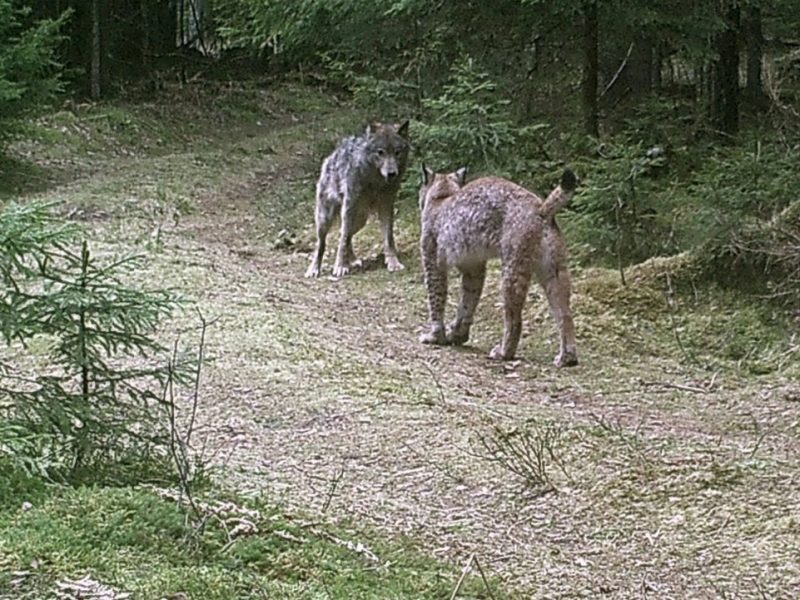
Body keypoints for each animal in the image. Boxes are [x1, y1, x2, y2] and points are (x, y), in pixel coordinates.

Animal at [304, 122, 410, 282]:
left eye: (397, 152)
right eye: (380, 152)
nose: (392, 173)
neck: (375, 181)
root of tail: (330, 157)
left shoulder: (387, 206)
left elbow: (389, 238)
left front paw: (393, 262)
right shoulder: (349, 205)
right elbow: (342, 240)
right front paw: (340, 266)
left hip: (360, 220)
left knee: (346, 235)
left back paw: (352, 260)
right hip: (326, 219)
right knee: (323, 243)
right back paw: (314, 269)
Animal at [416, 164, 580, 366]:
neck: (442, 195)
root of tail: (539, 206)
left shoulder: (433, 262)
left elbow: (436, 299)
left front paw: (435, 336)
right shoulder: (473, 267)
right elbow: (468, 301)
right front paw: (458, 335)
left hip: (513, 266)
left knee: (515, 319)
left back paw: (503, 352)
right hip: (554, 269)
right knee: (565, 314)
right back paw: (567, 357)